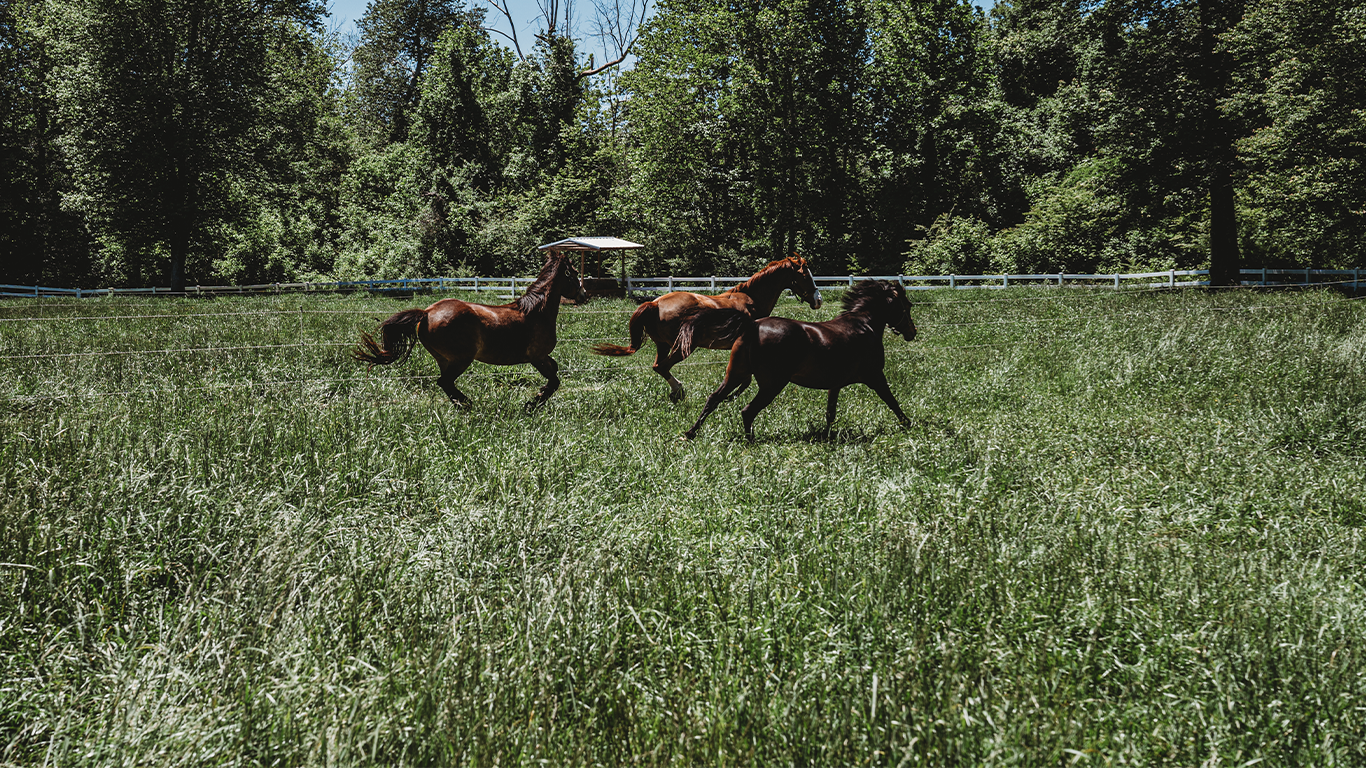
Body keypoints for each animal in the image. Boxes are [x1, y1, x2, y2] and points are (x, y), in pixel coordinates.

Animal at [353, 251, 588, 410]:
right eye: (574, 273)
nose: (584, 295)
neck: (536, 312)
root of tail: (427, 313)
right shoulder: (537, 356)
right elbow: (554, 380)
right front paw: (533, 403)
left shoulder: (543, 357)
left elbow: (555, 371)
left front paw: (536, 397)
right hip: (461, 359)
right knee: (445, 382)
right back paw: (469, 405)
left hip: (445, 360)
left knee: (445, 384)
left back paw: (463, 405)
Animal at [589, 254, 822, 403]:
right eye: (806, 275)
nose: (818, 299)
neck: (751, 300)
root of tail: (655, 304)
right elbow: (746, 379)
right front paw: (730, 397)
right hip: (684, 347)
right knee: (663, 367)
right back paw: (679, 391)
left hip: (663, 346)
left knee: (658, 366)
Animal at [676, 280, 916, 440]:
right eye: (907, 305)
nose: (912, 332)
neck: (863, 325)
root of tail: (752, 325)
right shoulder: (875, 375)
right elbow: (891, 400)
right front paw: (907, 423)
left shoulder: (835, 384)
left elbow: (830, 413)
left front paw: (827, 435)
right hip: (772, 384)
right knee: (747, 410)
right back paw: (750, 440)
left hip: (736, 374)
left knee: (713, 399)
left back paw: (690, 433)